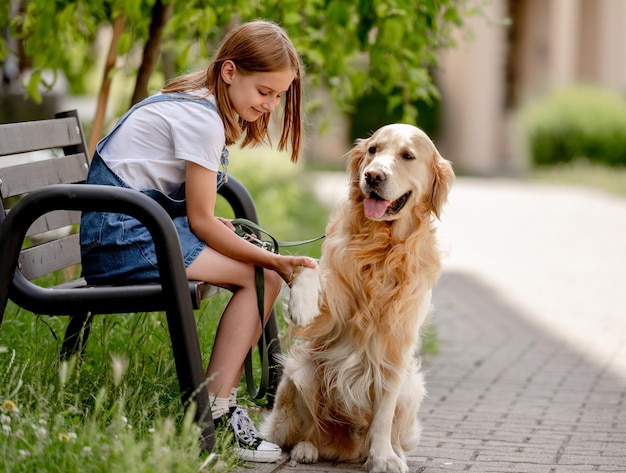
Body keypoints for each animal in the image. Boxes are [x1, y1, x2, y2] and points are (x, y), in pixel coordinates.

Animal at [260, 123, 454, 470]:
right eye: (374, 150)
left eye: (407, 156)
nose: (373, 176)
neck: (381, 248)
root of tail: (344, 449)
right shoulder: (330, 313)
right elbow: (308, 268)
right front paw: (301, 305)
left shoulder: (396, 346)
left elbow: (384, 414)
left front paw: (384, 457)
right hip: (301, 372)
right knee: (306, 429)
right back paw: (306, 449)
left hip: (412, 386)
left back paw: (394, 452)